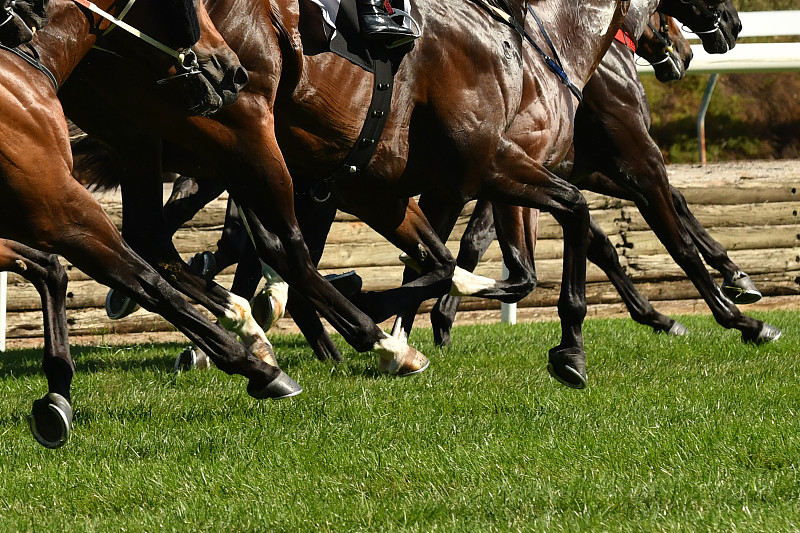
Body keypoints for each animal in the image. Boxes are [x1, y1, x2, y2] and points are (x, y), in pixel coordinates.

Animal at [0, 0, 302, 448]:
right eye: (193, 5)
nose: (233, 70)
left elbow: (55, 268)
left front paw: (57, 394)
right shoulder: (63, 212)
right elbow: (153, 287)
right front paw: (260, 370)